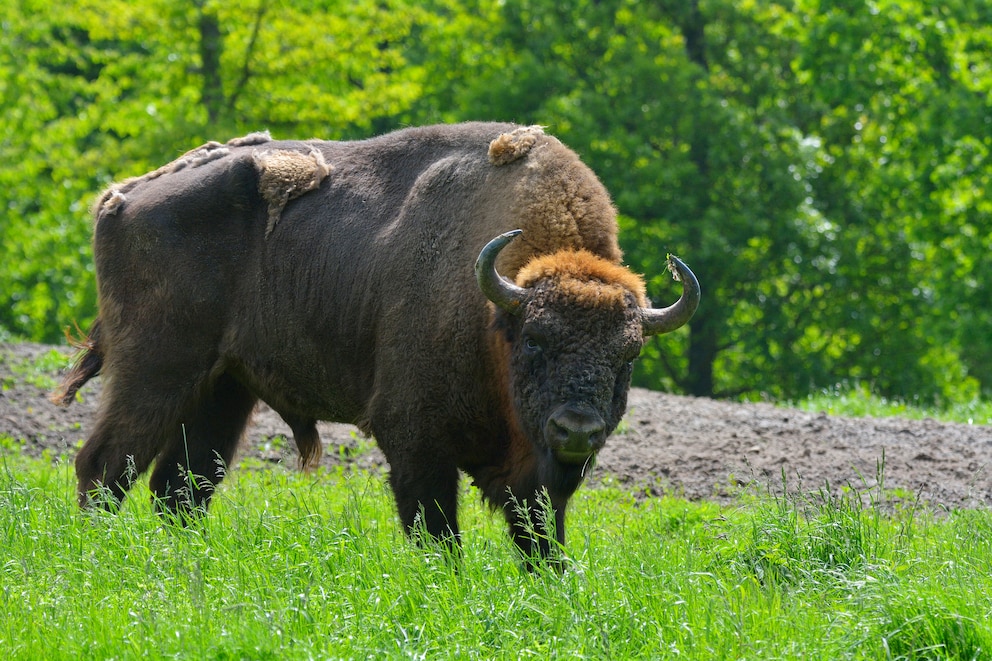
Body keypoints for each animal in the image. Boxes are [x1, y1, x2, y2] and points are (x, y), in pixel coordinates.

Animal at [54, 121, 696, 560]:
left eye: (629, 354)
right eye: (535, 339)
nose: (576, 431)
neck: (494, 310)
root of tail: (121, 196)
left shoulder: (533, 478)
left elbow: (541, 540)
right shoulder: (415, 440)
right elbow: (437, 532)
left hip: (224, 387)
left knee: (181, 485)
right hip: (157, 368)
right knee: (106, 465)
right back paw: (98, 552)